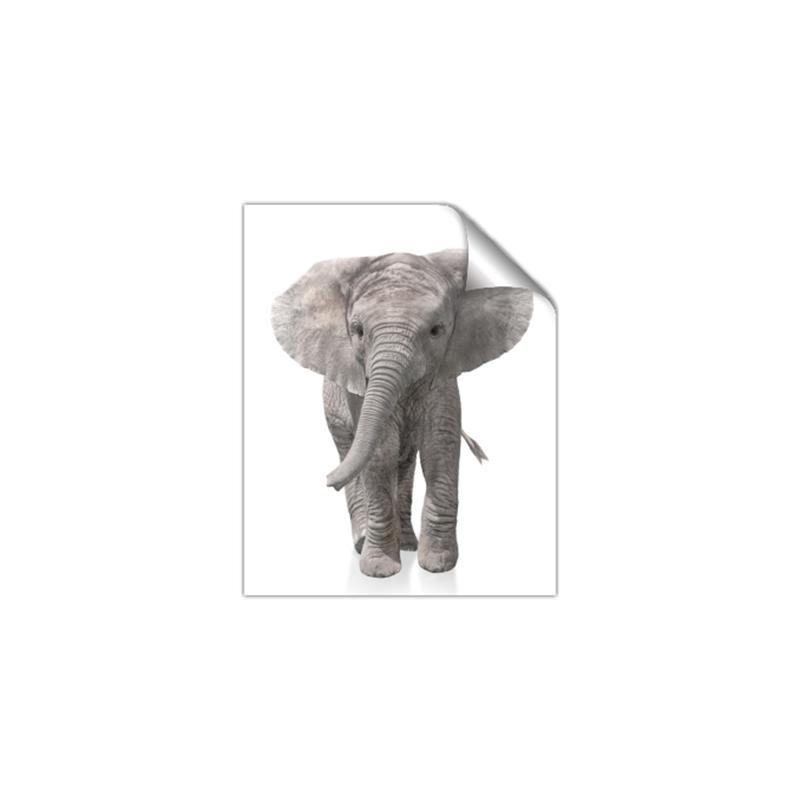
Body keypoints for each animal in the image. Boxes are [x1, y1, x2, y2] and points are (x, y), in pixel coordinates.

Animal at [271, 249, 533, 578]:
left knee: (404, 462)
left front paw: (438, 565)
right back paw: (363, 542)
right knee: (351, 450)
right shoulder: (358, 386)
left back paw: (407, 544)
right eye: (357, 331)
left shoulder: (444, 372)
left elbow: (440, 442)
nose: (328, 479)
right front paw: (380, 570)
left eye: (437, 331)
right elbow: (380, 448)